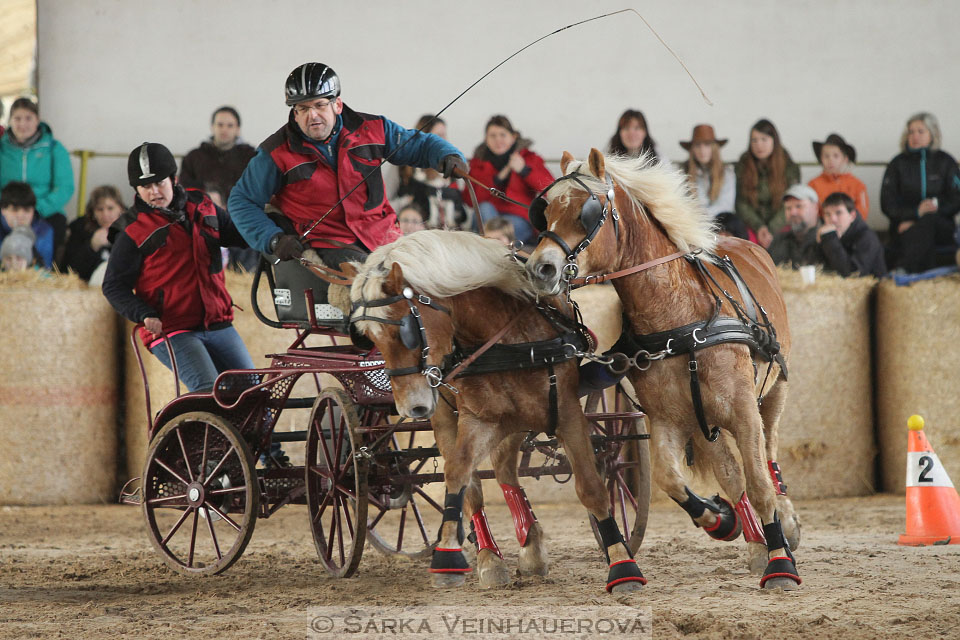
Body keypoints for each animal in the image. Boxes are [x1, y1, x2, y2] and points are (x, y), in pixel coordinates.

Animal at [344, 231, 644, 596]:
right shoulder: (478, 418)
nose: (410, 406)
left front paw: (623, 564)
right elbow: (459, 475)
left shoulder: (567, 412)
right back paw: (490, 555)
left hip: (515, 419)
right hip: (452, 415)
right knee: (477, 479)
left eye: (404, 330)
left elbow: (591, 485)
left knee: (505, 471)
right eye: (367, 337)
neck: (508, 341)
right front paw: (450, 556)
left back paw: (531, 545)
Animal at [524, 150, 804, 592]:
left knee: (769, 456)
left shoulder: (743, 409)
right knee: (729, 473)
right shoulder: (670, 417)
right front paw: (719, 520)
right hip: (704, 417)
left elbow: (760, 482)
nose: (541, 269)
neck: (681, 319)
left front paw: (781, 562)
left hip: (774, 391)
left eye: (588, 212)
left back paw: (784, 524)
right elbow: (670, 478)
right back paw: (754, 540)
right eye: (546, 211)